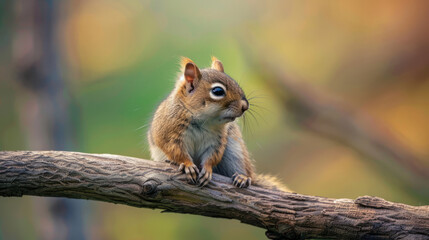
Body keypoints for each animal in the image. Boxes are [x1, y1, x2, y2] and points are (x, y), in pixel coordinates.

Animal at [148, 56, 288, 191]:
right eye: (218, 91)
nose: (245, 106)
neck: (203, 120)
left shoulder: (217, 141)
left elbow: (213, 156)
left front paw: (207, 169)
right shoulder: (169, 132)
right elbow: (176, 151)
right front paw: (187, 164)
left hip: (236, 152)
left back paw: (242, 177)